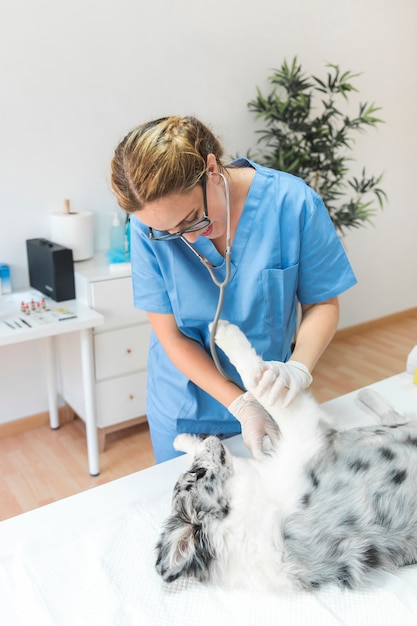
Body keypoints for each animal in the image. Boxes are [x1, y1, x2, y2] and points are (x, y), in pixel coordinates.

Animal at [154, 322, 416, 588]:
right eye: (197, 472)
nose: (207, 434)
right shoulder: (307, 434)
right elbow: (255, 380)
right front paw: (227, 335)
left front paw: (182, 439)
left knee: (392, 416)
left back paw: (366, 395)